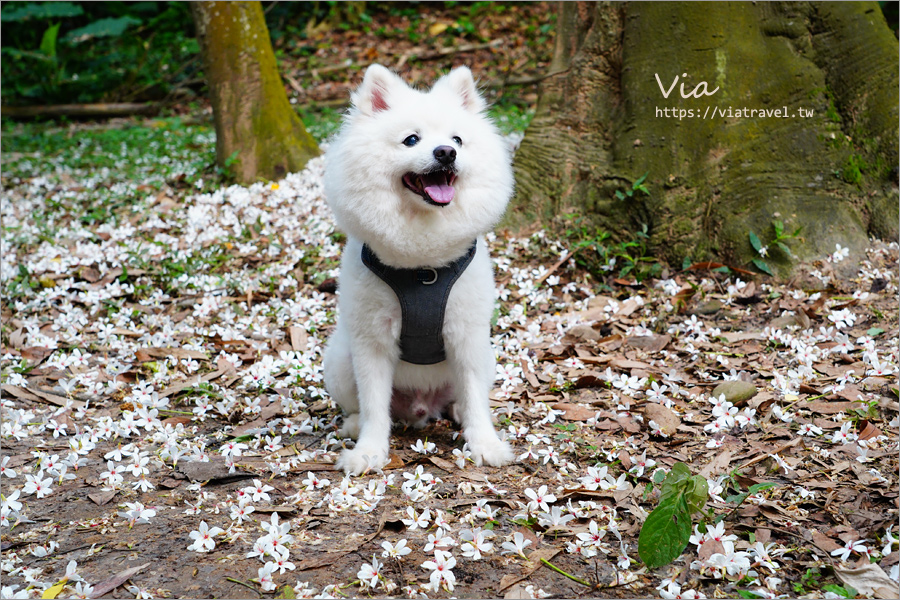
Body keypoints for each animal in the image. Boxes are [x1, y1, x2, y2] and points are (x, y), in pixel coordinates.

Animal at [326, 62, 516, 474]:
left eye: (457, 139)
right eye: (411, 140)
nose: (445, 152)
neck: (422, 268)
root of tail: (420, 406)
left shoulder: (467, 335)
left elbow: (475, 396)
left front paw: (485, 444)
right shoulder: (372, 341)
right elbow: (374, 406)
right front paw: (368, 451)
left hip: (486, 358)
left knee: (464, 396)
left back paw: (456, 411)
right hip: (340, 361)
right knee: (364, 406)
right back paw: (354, 425)